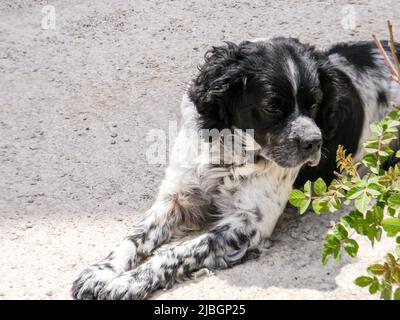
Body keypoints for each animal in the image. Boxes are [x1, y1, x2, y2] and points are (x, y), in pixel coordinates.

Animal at [72, 37, 400, 300]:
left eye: (316, 103)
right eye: (271, 107)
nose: (313, 142)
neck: (230, 154)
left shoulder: (250, 221)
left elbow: (178, 252)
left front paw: (127, 283)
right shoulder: (178, 197)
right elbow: (134, 238)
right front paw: (102, 272)